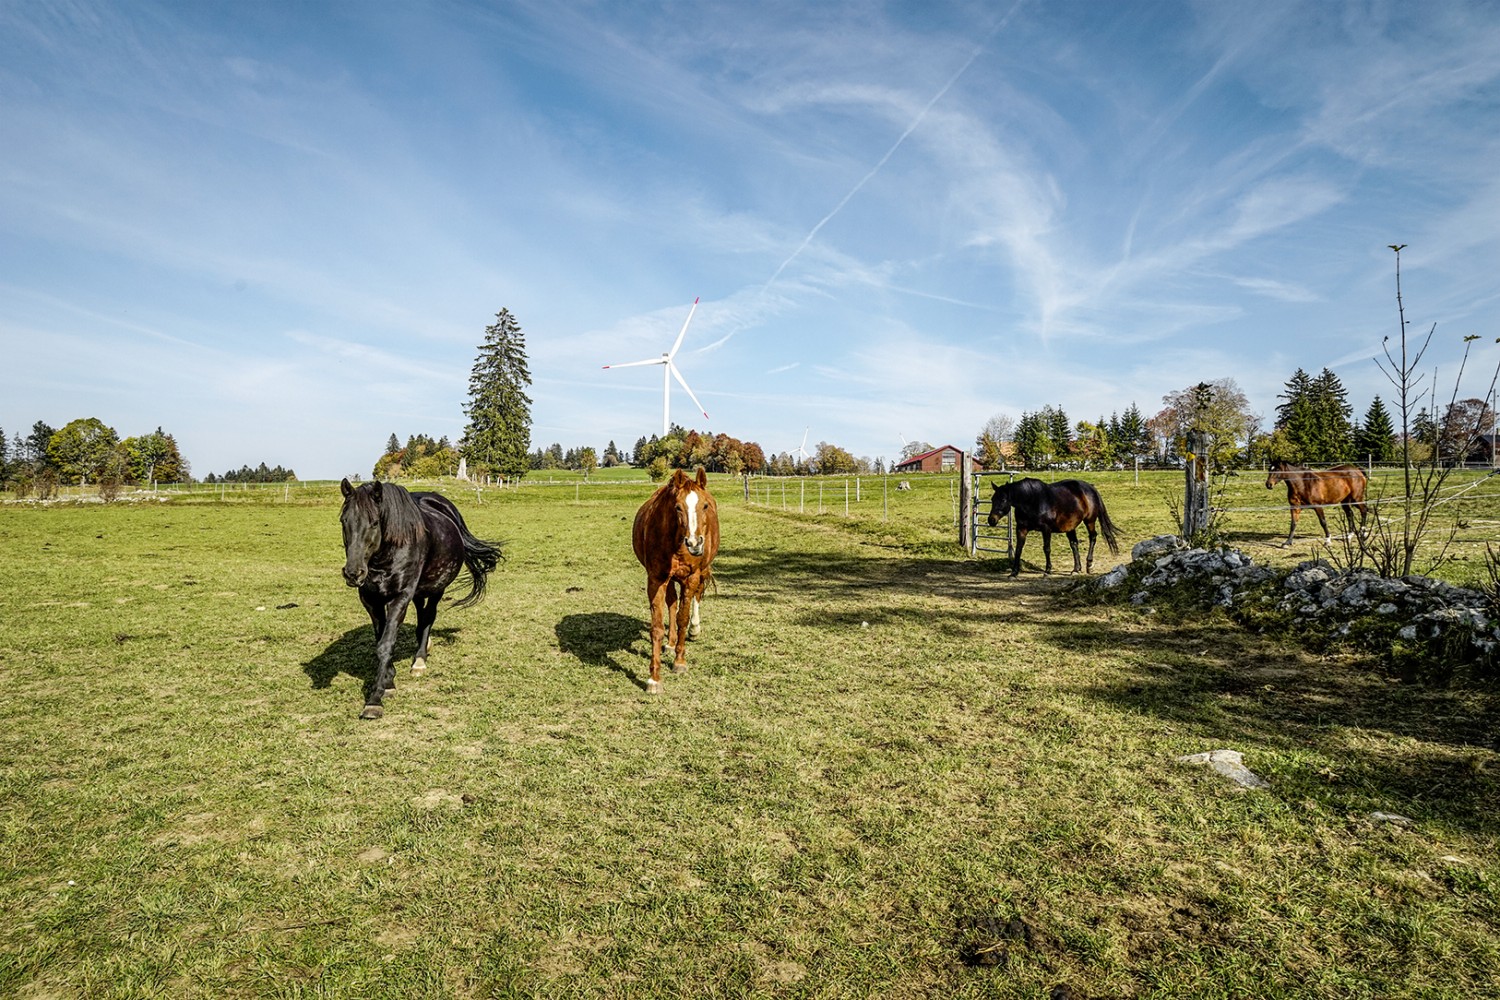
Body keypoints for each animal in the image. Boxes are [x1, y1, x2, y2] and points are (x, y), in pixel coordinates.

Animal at [340, 479, 504, 719]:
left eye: (374, 522)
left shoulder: (401, 596)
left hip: (437, 588)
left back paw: (420, 659)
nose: (353, 573)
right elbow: (381, 640)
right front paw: (389, 681)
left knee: (428, 617)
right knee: (421, 614)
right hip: (419, 590)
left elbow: (386, 644)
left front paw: (375, 699)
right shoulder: (371, 600)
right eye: (344, 521)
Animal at [630, 470, 717, 695]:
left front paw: (679, 662)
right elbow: (657, 626)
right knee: (672, 603)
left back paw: (694, 630)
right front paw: (654, 679)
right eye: (677, 507)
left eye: (705, 505)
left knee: (696, 598)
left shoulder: (691, 577)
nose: (694, 543)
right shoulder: (656, 579)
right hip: (668, 580)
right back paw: (669, 643)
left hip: (700, 572)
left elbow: (682, 619)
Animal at [990, 479, 1122, 578]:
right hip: (1070, 526)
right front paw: (1014, 572)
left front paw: (1048, 571)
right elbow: (1018, 550)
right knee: (1074, 544)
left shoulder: (1046, 529)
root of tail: (1090, 488)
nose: (991, 520)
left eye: (1003, 499)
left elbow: (1047, 549)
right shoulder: (1021, 529)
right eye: (992, 499)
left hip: (1089, 521)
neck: (1032, 500)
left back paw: (1089, 565)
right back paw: (1076, 569)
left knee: (1092, 537)